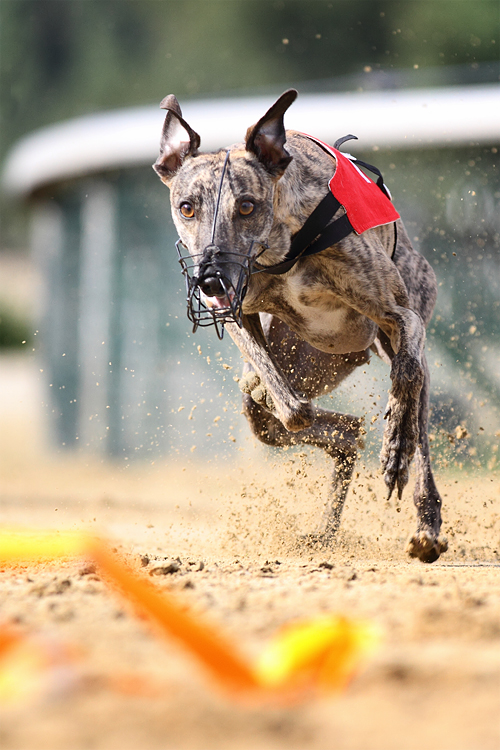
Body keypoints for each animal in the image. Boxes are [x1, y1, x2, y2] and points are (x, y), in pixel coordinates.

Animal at [153, 88, 450, 564]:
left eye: (247, 206)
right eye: (187, 208)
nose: (210, 281)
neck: (283, 249)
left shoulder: (400, 317)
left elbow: (405, 376)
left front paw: (395, 447)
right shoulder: (241, 312)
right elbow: (292, 410)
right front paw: (269, 388)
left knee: (416, 413)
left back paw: (423, 519)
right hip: (305, 362)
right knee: (331, 428)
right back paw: (323, 529)